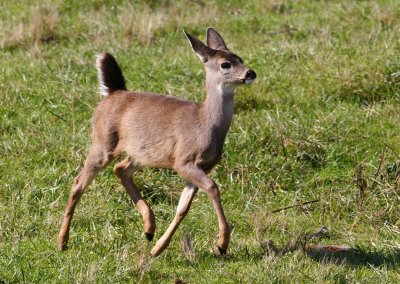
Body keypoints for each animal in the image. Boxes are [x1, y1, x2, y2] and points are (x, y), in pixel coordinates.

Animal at [57, 27, 256, 256]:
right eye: (225, 64)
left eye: (240, 58)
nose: (250, 73)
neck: (206, 124)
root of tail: (113, 92)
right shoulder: (184, 160)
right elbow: (213, 187)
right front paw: (222, 243)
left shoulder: (203, 166)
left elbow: (182, 207)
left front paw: (158, 248)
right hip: (103, 141)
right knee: (78, 182)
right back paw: (62, 242)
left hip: (140, 153)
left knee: (120, 169)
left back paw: (149, 229)